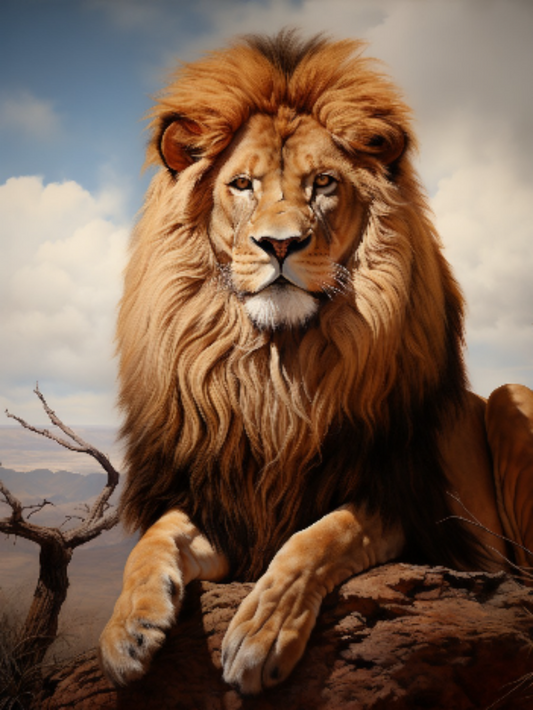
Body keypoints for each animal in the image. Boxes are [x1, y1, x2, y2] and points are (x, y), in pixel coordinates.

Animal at [99, 31, 533, 694]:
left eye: (324, 183)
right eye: (242, 184)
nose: (280, 244)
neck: (275, 374)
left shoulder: (402, 503)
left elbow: (319, 538)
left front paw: (262, 632)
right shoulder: (226, 507)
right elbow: (154, 539)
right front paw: (127, 631)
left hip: (513, 397)